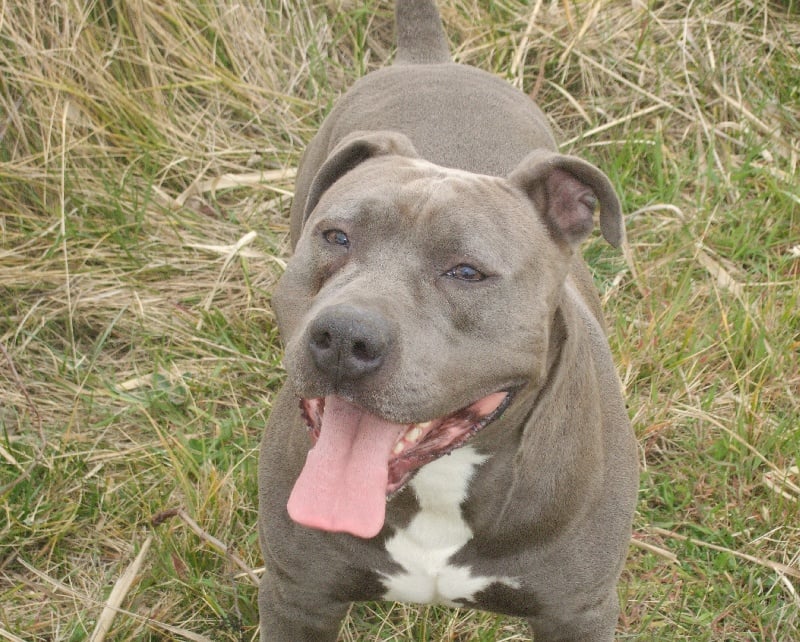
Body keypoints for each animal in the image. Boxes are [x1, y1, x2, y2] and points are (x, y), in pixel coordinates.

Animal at [257, 2, 638, 640]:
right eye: (336, 237)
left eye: (466, 272)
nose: (345, 337)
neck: (437, 485)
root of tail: (428, 58)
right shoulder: (296, 598)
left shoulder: (578, 612)